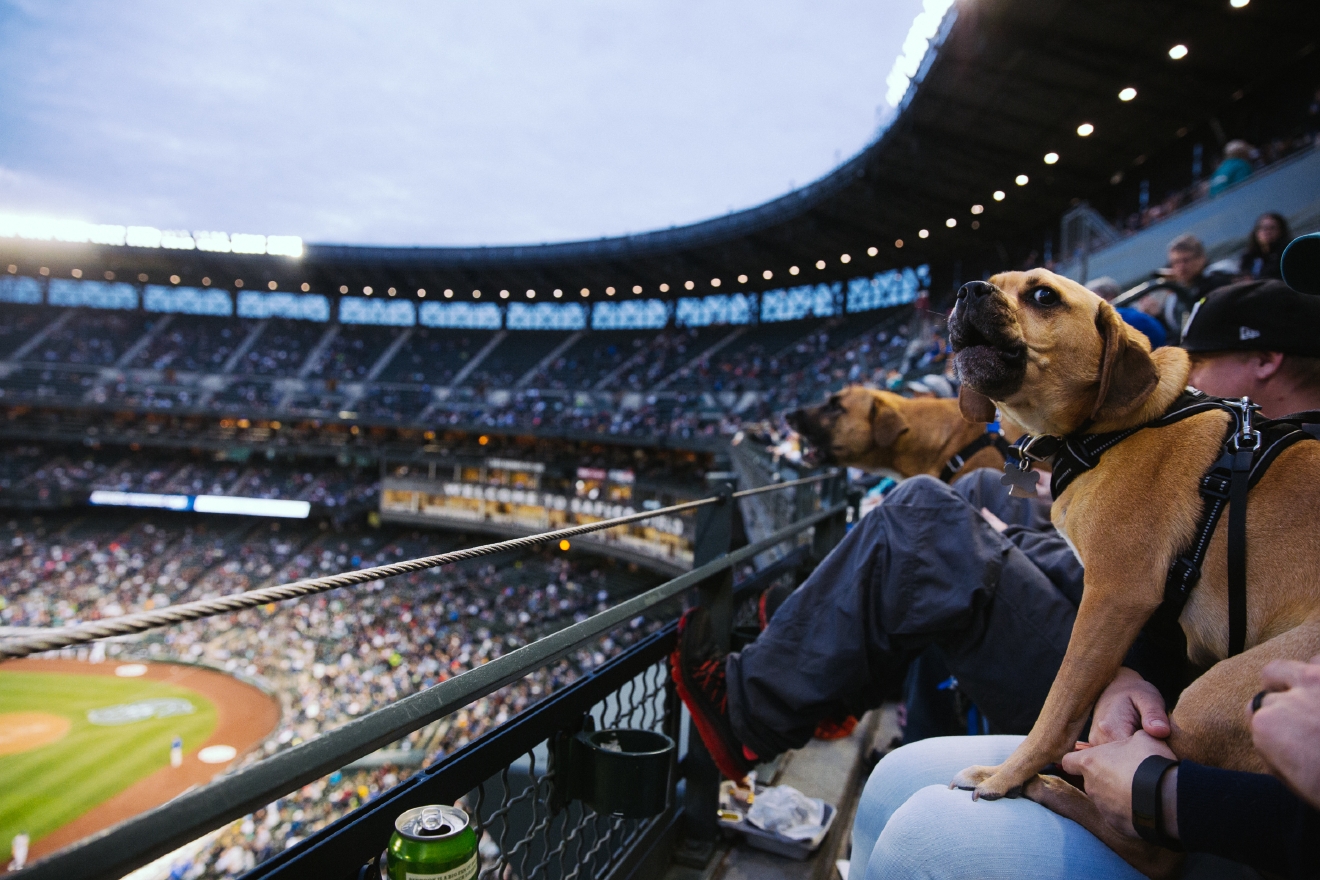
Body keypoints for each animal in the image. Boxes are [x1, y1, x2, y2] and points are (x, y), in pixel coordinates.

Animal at [950, 269, 1320, 876]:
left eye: (1043, 295)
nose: (967, 288)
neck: (1110, 427)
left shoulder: (1113, 598)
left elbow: (1057, 707)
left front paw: (1008, 775)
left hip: (1222, 699)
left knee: (1154, 849)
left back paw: (1051, 789)